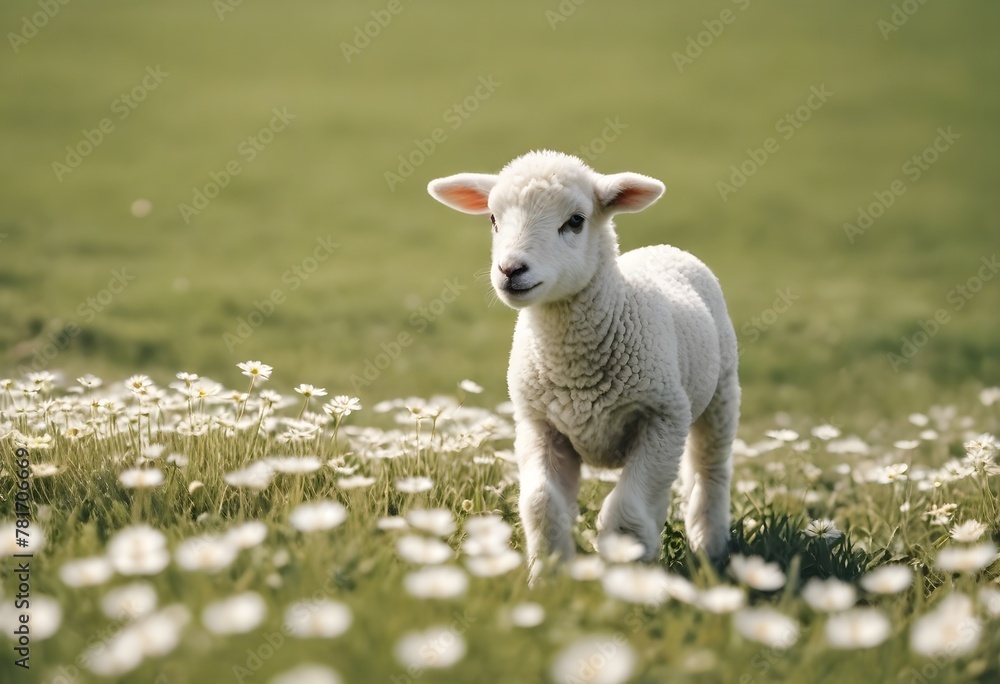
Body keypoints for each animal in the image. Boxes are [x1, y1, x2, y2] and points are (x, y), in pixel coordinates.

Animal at [426, 151, 740, 584]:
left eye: (575, 220)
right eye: (492, 218)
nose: (510, 270)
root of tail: (663, 248)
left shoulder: (663, 417)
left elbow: (628, 510)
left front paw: (625, 575)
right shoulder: (539, 423)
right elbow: (541, 503)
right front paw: (547, 577)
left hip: (721, 393)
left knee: (711, 471)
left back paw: (710, 549)